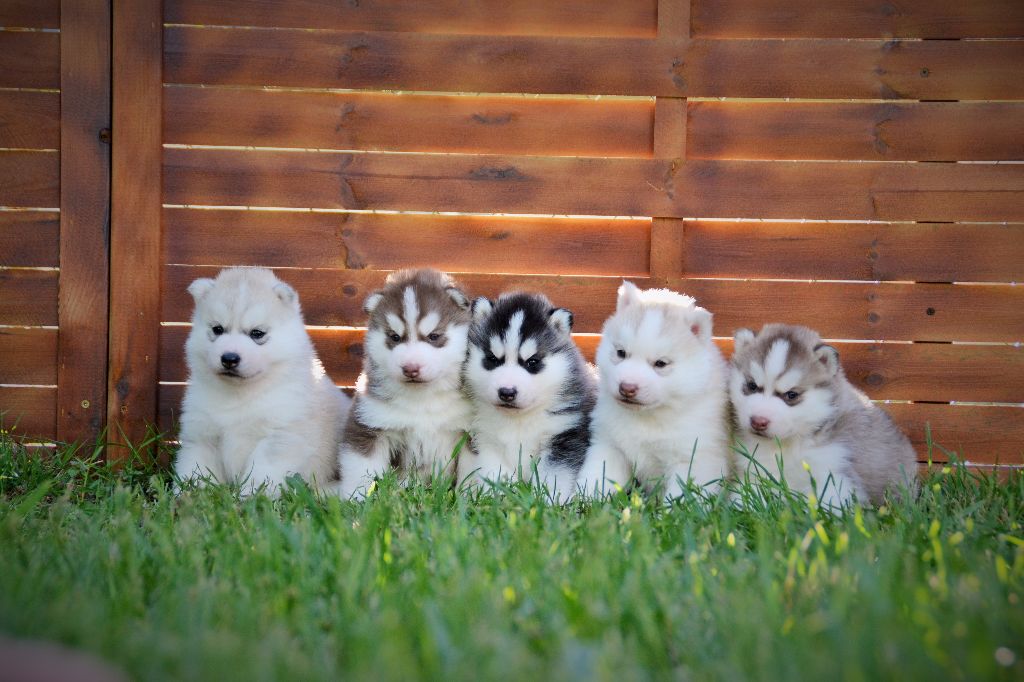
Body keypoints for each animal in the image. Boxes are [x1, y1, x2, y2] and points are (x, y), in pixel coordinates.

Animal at [174, 266, 350, 493]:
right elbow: (196, 470)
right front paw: (190, 495)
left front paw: (249, 496)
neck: (239, 395)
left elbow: (260, 475)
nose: (229, 358)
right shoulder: (202, 435)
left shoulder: (278, 438)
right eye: (217, 329)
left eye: (257, 333)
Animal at [339, 268, 475, 497]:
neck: (422, 399)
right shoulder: (368, 425)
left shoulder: (472, 431)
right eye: (394, 337)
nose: (411, 368)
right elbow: (360, 470)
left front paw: (472, 495)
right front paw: (354, 499)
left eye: (434, 336)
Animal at [458, 288, 598, 497]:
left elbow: (554, 476)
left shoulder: (564, 436)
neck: (519, 419)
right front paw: (500, 498)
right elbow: (495, 473)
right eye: (492, 359)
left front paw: (549, 499)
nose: (507, 392)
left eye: (532, 362)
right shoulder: (486, 440)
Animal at [577, 278, 737, 497]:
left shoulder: (694, 460)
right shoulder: (609, 445)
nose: (627, 387)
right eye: (621, 353)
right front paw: (584, 500)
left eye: (660, 363)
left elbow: (680, 497)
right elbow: (596, 477)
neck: (648, 418)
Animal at [729, 323, 921, 503]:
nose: (758, 421)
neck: (791, 443)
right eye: (752, 386)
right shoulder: (759, 470)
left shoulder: (835, 474)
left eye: (791, 395)